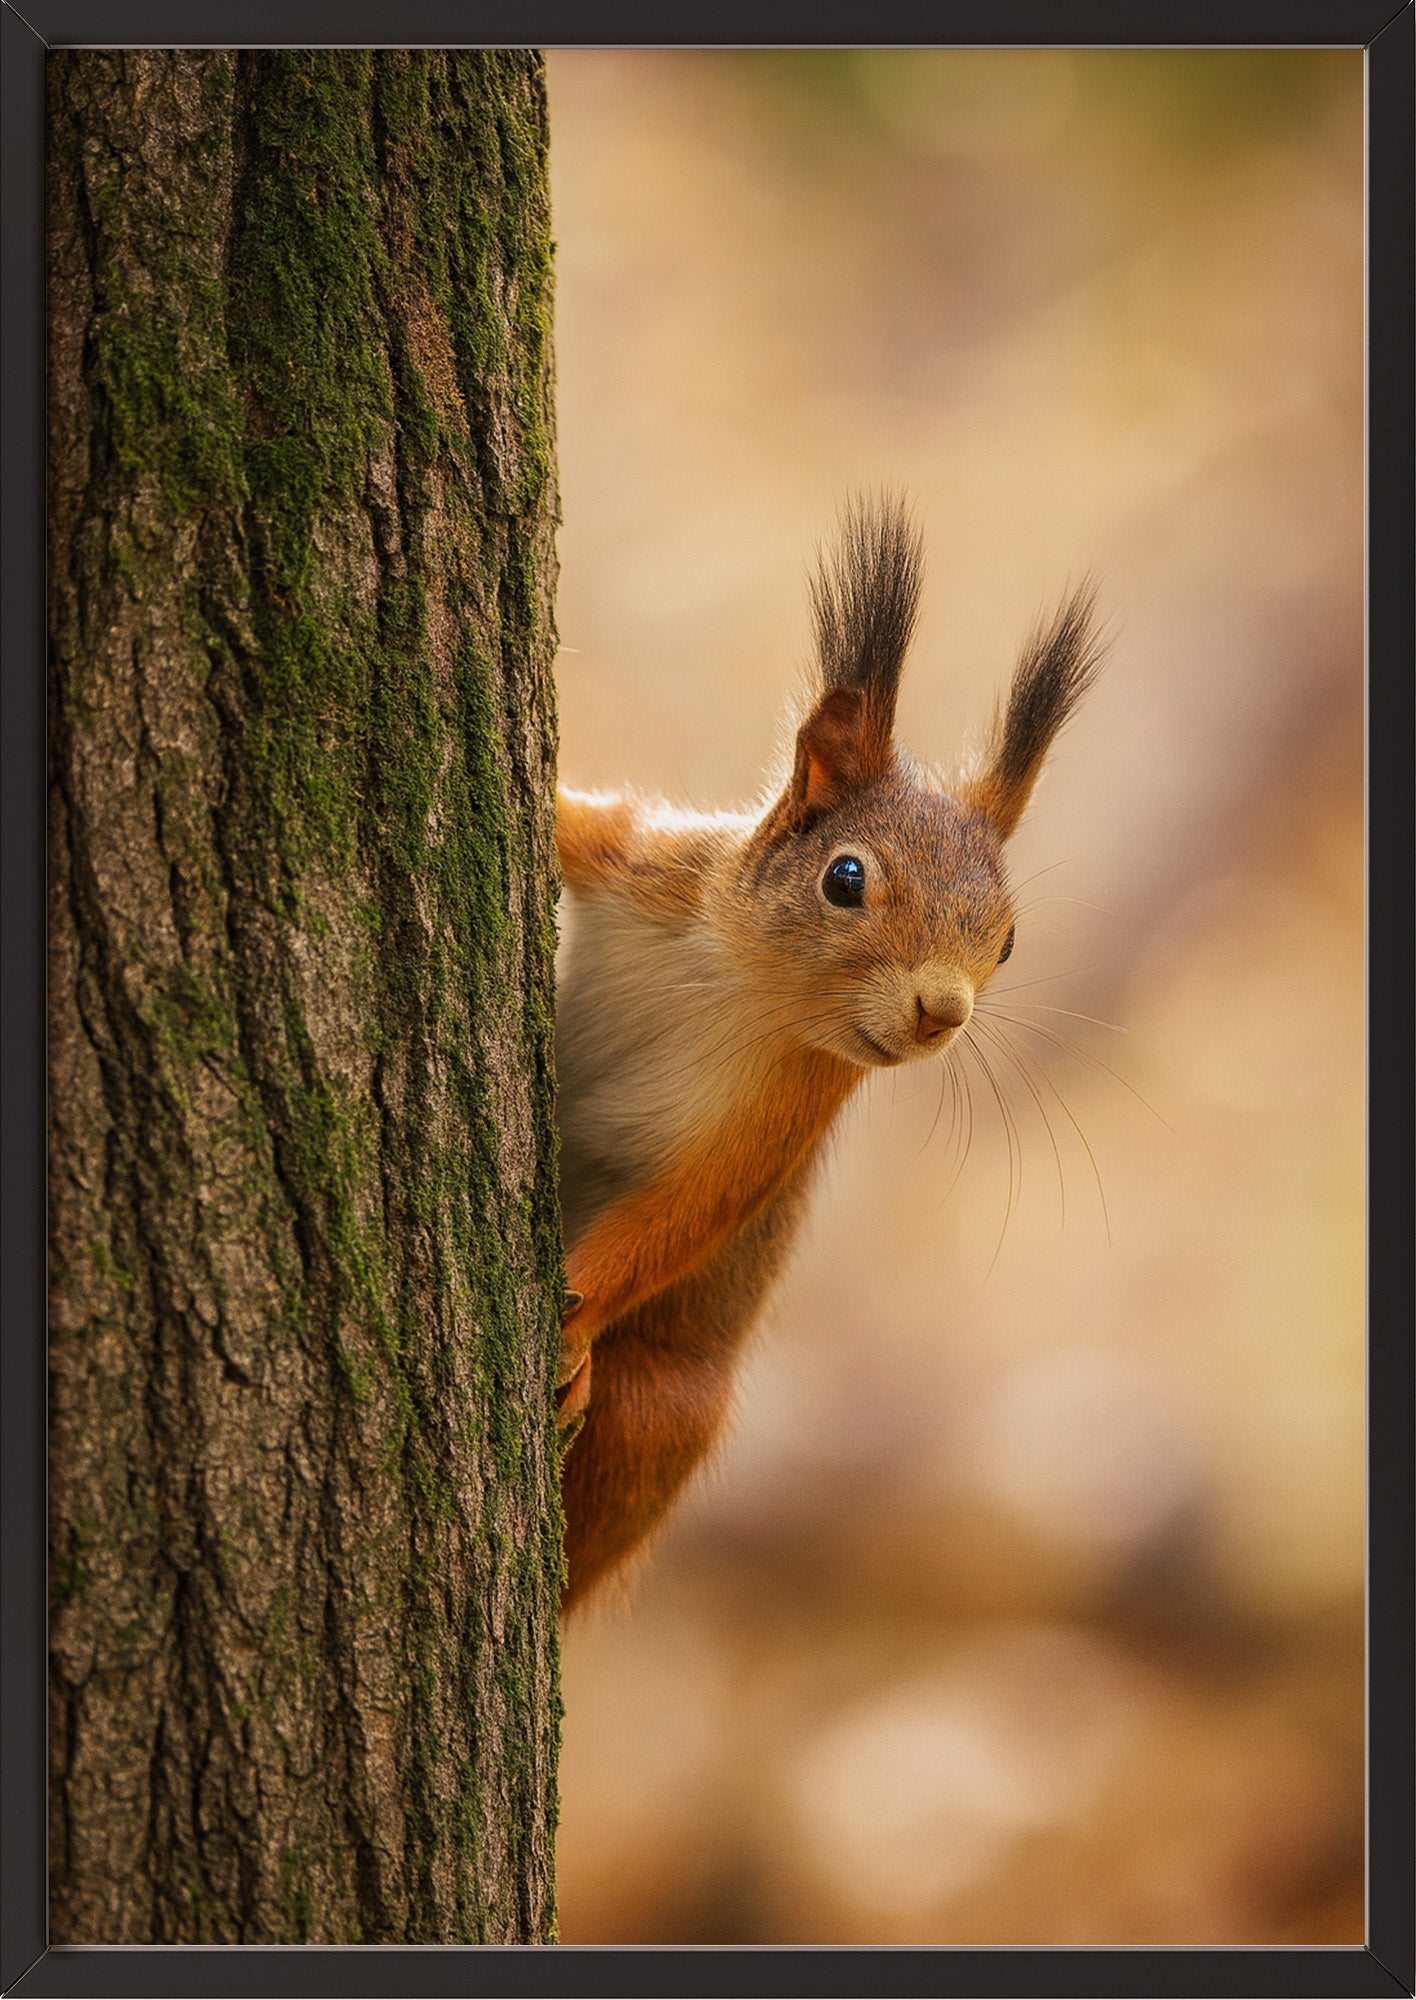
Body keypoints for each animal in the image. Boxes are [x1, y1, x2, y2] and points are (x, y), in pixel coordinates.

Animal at [553, 494, 1104, 1612]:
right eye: (845, 877)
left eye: (1009, 941)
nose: (943, 1011)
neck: (737, 982)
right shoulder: (641, 859)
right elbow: (570, 821)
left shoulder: (788, 1111)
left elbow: (684, 1215)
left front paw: (573, 1327)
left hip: (664, 1412)